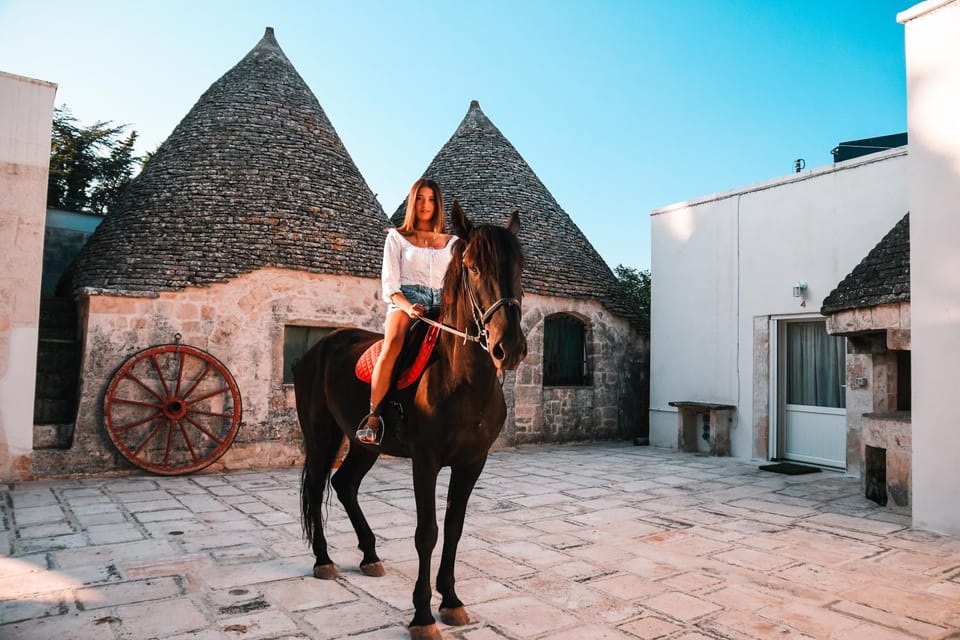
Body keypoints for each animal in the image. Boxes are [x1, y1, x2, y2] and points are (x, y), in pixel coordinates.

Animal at [293, 202, 527, 640]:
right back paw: (323, 560)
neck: (461, 378)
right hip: (321, 435)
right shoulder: (426, 461)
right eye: (472, 267)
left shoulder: (472, 462)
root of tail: (318, 348)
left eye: (520, 266)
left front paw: (450, 600)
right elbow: (427, 533)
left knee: (345, 484)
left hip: (363, 442)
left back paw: (369, 555)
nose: (510, 348)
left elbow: (454, 528)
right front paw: (422, 615)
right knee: (317, 488)